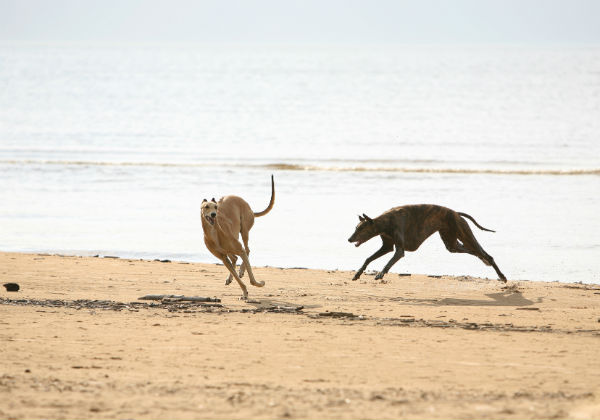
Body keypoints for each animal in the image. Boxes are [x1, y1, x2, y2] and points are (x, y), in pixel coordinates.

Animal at [346, 203, 506, 282]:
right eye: (356, 228)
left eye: (361, 229)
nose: (349, 239)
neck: (385, 221)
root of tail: (456, 213)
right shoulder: (387, 247)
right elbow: (368, 259)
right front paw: (357, 274)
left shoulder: (399, 251)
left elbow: (389, 262)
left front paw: (380, 274)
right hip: (452, 244)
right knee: (476, 252)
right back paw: (487, 263)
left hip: (464, 235)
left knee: (486, 254)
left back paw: (502, 276)